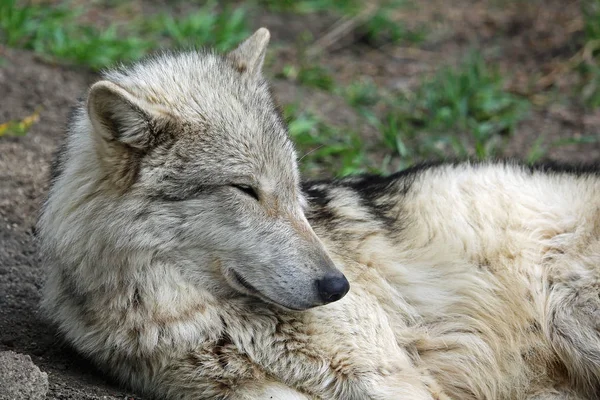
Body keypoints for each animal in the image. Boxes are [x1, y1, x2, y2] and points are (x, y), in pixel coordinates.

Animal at [38, 28, 600, 400]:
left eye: (293, 188)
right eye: (246, 190)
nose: (338, 286)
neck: (200, 313)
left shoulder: (386, 374)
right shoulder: (243, 391)